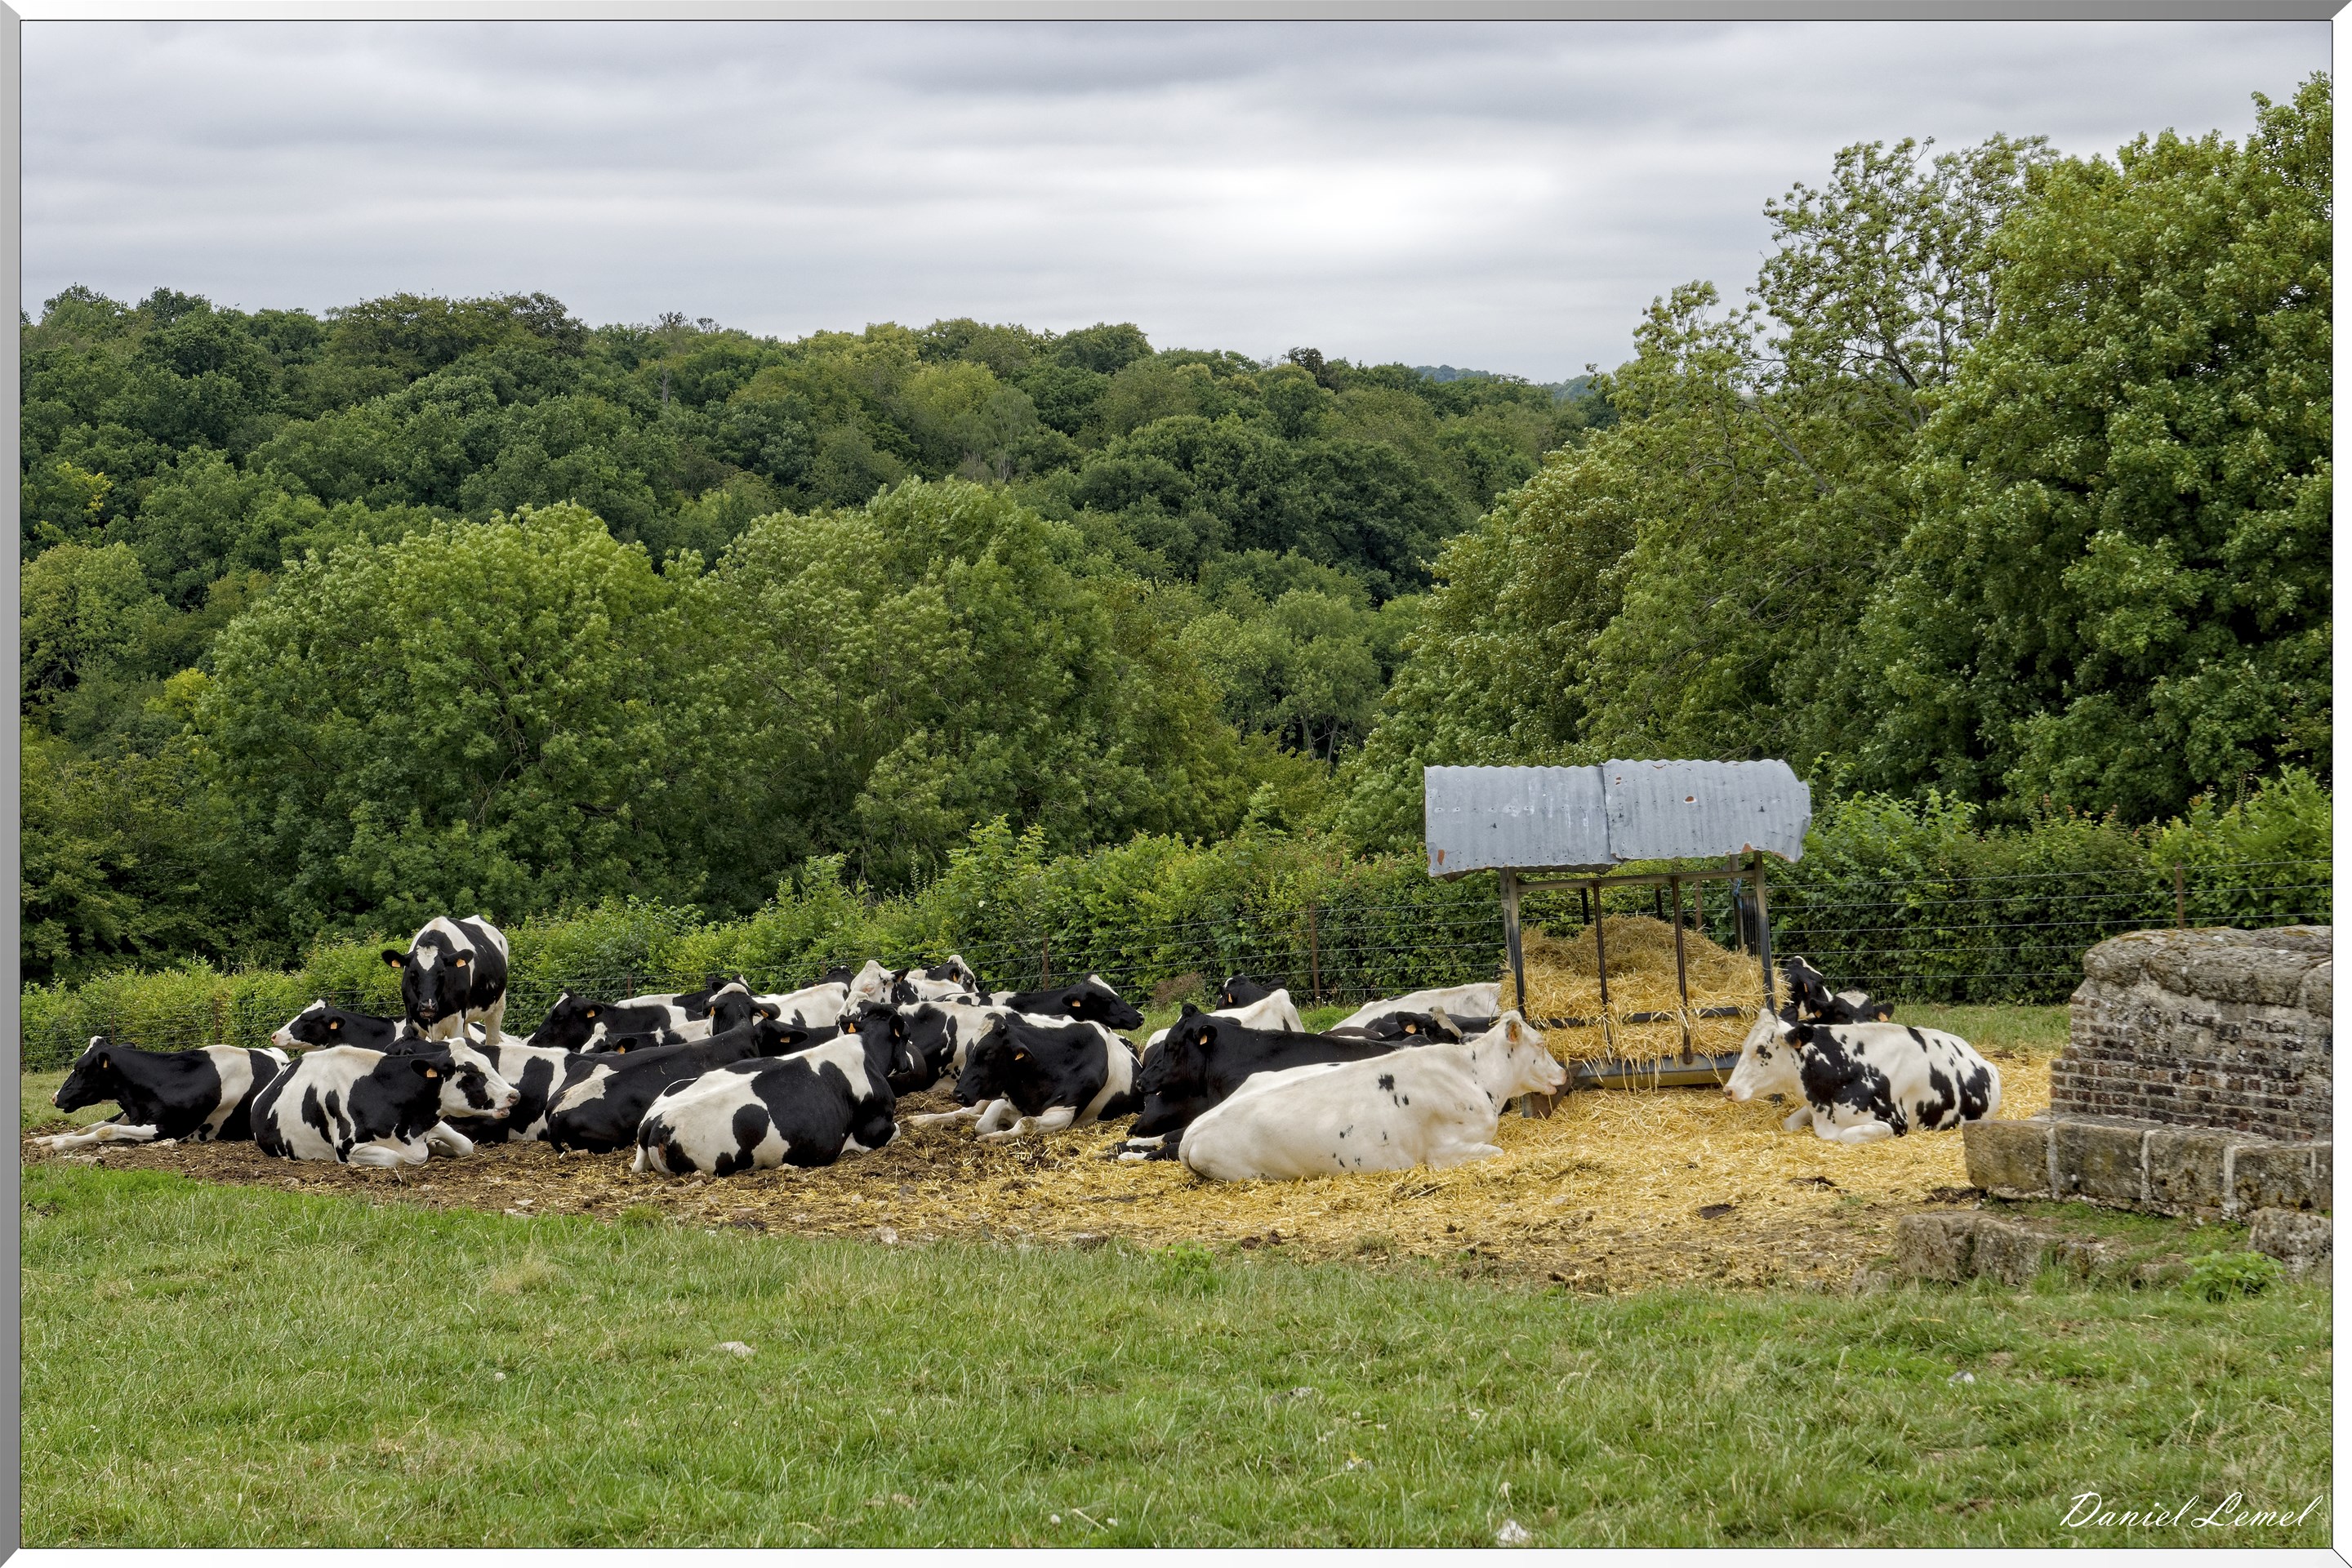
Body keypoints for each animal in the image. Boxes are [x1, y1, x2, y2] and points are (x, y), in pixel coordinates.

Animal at [35, 1037, 290, 1151]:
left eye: (79, 1069)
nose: (55, 1097)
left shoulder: (171, 1128)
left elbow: (106, 1130)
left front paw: (57, 1144)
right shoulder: (132, 1115)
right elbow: (89, 1128)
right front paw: (45, 1139)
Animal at [252, 1043, 518, 1166]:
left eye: (488, 1064)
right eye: (470, 1074)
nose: (514, 1095)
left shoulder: (431, 1123)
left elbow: (466, 1145)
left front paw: (438, 1146)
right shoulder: (347, 1148)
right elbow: (395, 1159)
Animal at [383, 916, 512, 1045]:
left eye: (442, 971)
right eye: (413, 972)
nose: (428, 1005)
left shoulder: (457, 1022)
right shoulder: (412, 1019)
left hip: (498, 1007)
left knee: (492, 1038)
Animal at [910, 1012, 1138, 1140]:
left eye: (988, 1053)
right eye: (968, 1051)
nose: (958, 1094)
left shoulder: (1064, 1112)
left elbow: (1025, 1123)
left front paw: (995, 1137)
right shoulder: (1008, 1099)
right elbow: (984, 1123)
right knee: (966, 1112)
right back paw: (920, 1119)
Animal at [1177, 1013, 1565, 1181]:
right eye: (1540, 1043)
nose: (1562, 1073)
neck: (1472, 1073)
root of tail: (1192, 1132)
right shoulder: (1446, 1151)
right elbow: (1497, 1152)